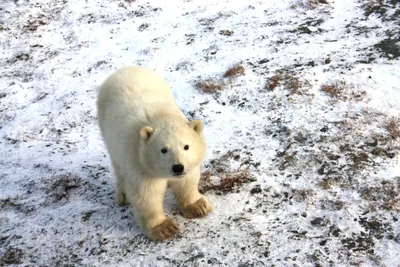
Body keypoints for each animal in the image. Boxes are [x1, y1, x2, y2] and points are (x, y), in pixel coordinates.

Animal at [96, 66, 212, 242]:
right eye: (163, 150)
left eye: (186, 146)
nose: (178, 167)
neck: (159, 117)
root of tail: (124, 70)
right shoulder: (139, 162)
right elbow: (146, 194)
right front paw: (164, 228)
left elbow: (187, 182)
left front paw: (198, 206)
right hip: (107, 132)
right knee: (118, 166)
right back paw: (122, 195)